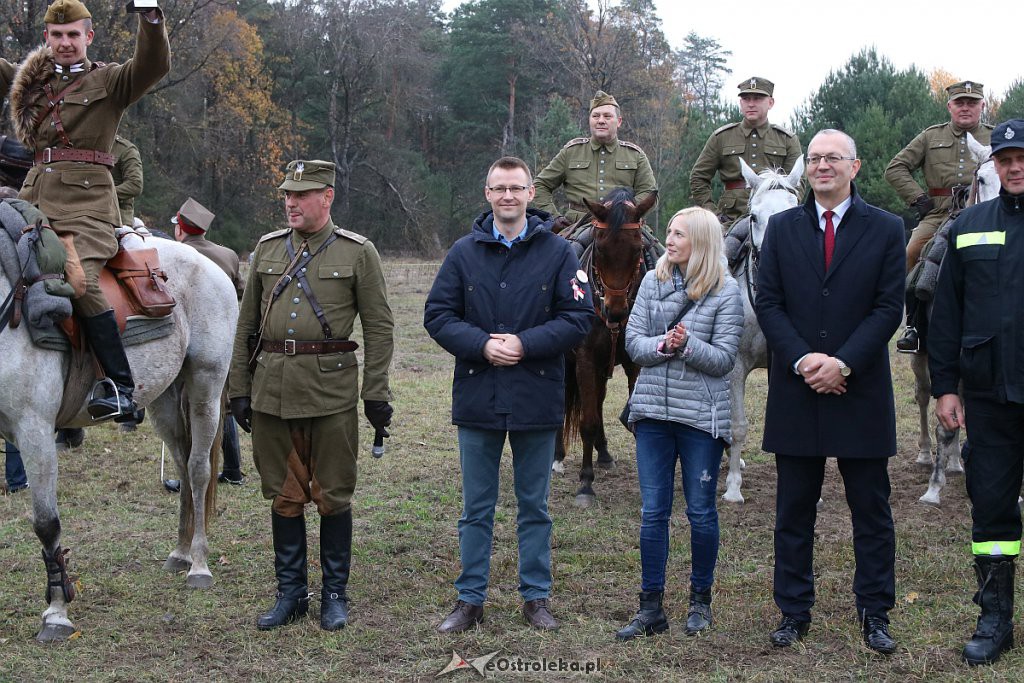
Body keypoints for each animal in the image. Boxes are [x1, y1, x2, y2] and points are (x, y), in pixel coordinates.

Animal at [3, 235, 237, 643]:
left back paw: (199, 564)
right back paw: (181, 552)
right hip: (164, 399)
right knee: (182, 466)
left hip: (205, 386)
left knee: (198, 471)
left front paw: (56, 612)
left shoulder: (34, 430)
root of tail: (208, 262)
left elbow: (46, 523)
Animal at [552, 187, 655, 507]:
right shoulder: (585, 360)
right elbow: (586, 421)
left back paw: (605, 454)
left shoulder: (635, 364)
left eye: (637, 249)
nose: (616, 312)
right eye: (600, 247)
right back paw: (557, 457)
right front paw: (585, 484)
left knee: (596, 402)